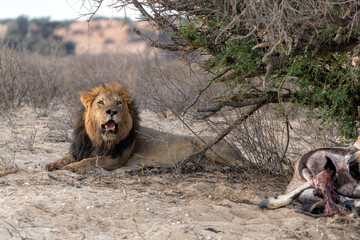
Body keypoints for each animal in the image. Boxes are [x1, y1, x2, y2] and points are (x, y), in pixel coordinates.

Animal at [46, 82, 240, 172]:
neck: (98, 140)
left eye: (118, 103)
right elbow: (65, 157)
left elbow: (89, 161)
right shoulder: (79, 150)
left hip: (209, 147)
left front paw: (71, 168)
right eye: (100, 102)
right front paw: (52, 164)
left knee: (240, 165)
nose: (111, 111)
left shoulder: (114, 159)